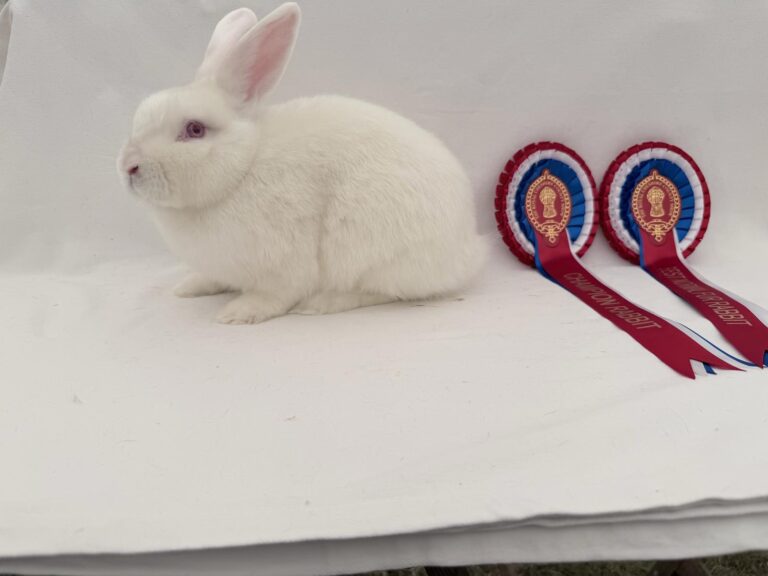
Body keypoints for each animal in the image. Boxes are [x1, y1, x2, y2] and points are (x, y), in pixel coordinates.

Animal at [117, 3, 486, 324]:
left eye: (194, 130)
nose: (128, 166)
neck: (241, 171)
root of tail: (468, 250)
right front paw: (190, 287)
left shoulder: (284, 259)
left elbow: (276, 293)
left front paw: (238, 313)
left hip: (373, 251)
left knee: (382, 291)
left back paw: (321, 303)